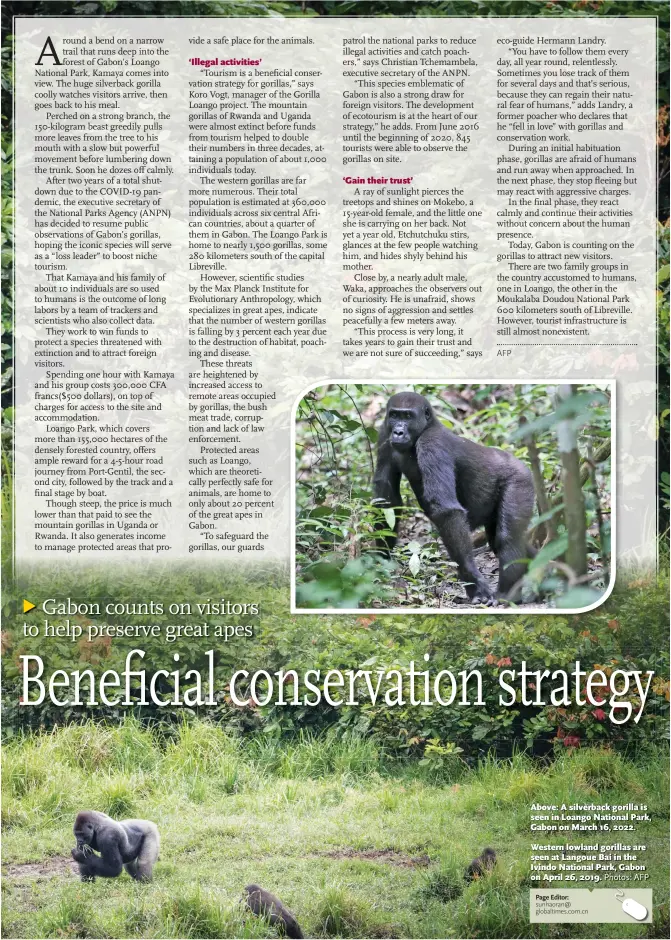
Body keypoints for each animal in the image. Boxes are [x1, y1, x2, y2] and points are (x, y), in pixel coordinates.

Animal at [372, 392, 536, 604]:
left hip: (521, 480)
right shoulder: (384, 432)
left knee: (508, 538)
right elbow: (387, 501)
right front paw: (380, 558)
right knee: (500, 539)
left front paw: (475, 581)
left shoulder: (433, 443)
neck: (427, 426)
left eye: (407, 416)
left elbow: (447, 511)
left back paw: (508, 594)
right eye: (394, 415)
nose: (398, 432)